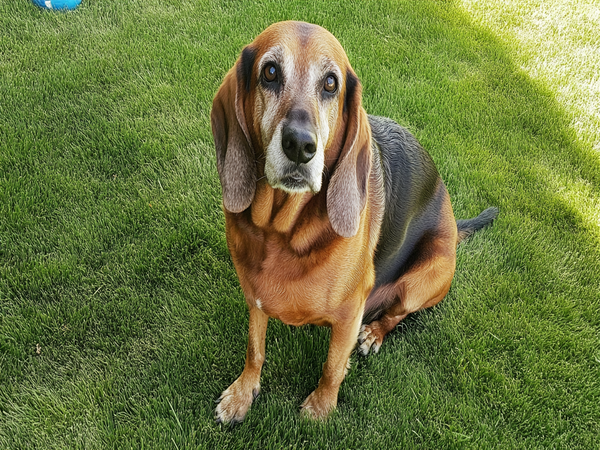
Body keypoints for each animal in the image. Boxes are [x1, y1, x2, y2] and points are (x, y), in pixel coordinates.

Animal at [211, 20, 496, 422]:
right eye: (270, 72)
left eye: (331, 83)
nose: (300, 145)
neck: (281, 231)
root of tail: (455, 224)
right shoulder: (255, 298)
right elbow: (255, 348)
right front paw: (242, 393)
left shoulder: (348, 315)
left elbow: (331, 366)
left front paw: (320, 408)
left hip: (427, 277)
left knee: (397, 313)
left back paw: (374, 333)